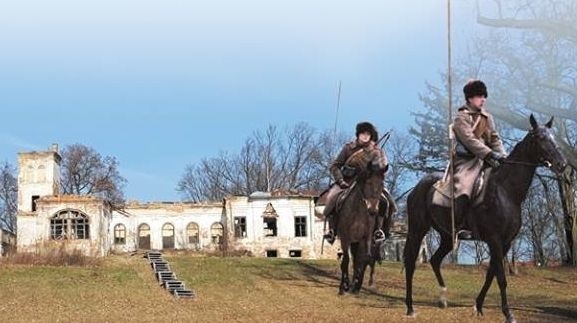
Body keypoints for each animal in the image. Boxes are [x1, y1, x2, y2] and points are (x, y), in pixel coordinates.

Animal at [332, 149, 388, 296]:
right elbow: (346, 261)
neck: (358, 212)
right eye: (368, 183)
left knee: (361, 261)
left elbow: (361, 261)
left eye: (382, 184)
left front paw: (356, 286)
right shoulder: (345, 238)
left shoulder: (364, 239)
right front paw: (343, 287)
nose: (373, 210)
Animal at [402, 115, 564, 322]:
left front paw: (478, 306)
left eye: (553, 137)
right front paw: (508, 313)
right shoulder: (494, 240)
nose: (561, 164)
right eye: (541, 138)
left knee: (435, 260)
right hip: (417, 230)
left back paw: (443, 299)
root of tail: (418, 187)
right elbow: (501, 278)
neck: (506, 191)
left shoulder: (505, 244)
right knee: (410, 262)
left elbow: (491, 274)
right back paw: (410, 307)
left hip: (447, 237)